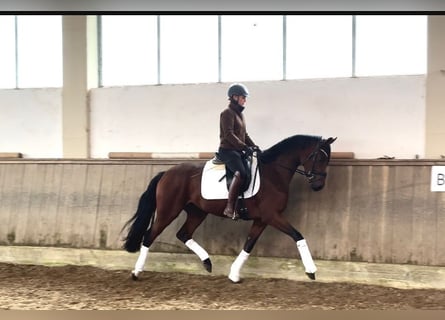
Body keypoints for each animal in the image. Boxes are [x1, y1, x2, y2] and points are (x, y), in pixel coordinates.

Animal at [121, 135, 336, 282]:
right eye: (319, 158)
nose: (318, 185)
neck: (273, 173)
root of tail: (166, 173)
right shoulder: (272, 216)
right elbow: (298, 235)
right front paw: (311, 271)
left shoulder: (262, 219)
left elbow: (248, 245)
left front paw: (233, 274)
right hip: (169, 211)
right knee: (149, 235)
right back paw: (136, 272)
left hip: (197, 212)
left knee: (183, 234)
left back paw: (207, 262)